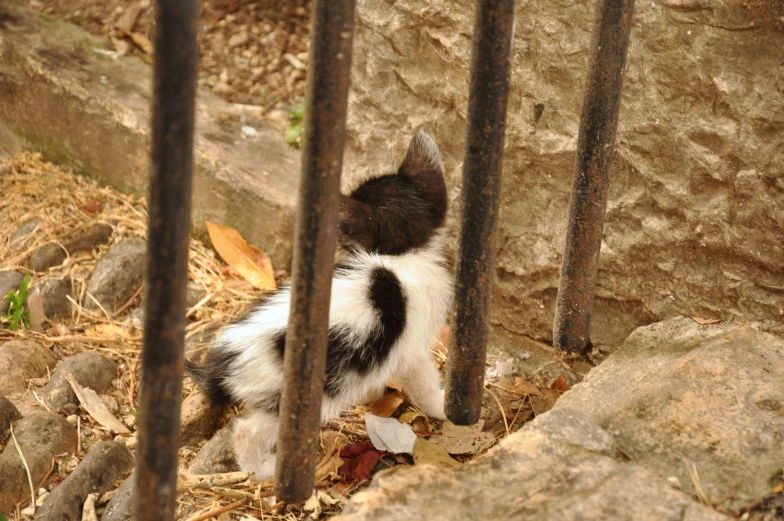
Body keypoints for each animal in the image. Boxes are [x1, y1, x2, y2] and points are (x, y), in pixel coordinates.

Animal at [185, 131, 454, 480]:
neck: (406, 256)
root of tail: (227, 360)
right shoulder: (411, 347)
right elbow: (423, 381)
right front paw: (443, 405)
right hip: (300, 394)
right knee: (247, 430)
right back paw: (263, 469)